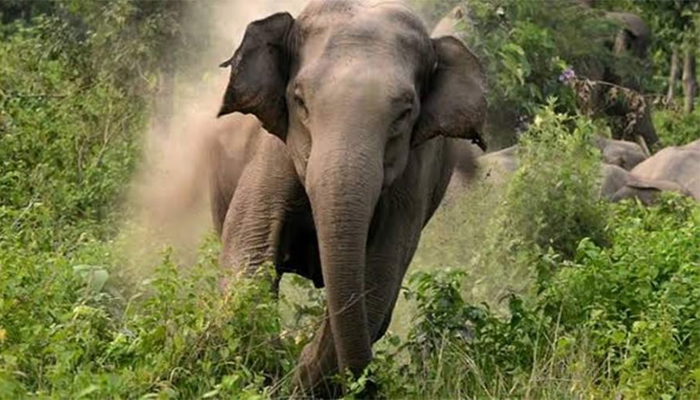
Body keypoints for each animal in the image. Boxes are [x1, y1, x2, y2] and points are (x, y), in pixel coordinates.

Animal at [213, 0, 487, 397]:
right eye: (299, 100)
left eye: (405, 113)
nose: (369, 385)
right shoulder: (272, 150)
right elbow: (249, 252)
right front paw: (268, 374)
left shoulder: (412, 180)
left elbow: (377, 280)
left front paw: (296, 382)